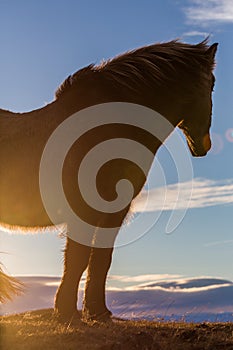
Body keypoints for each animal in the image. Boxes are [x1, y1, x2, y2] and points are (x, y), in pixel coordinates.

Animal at [0, 39, 218, 322]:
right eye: (212, 83)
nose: (203, 145)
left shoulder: (115, 209)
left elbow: (101, 259)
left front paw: (96, 311)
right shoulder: (84, 209)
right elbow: (78, 258)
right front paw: (67, 311)